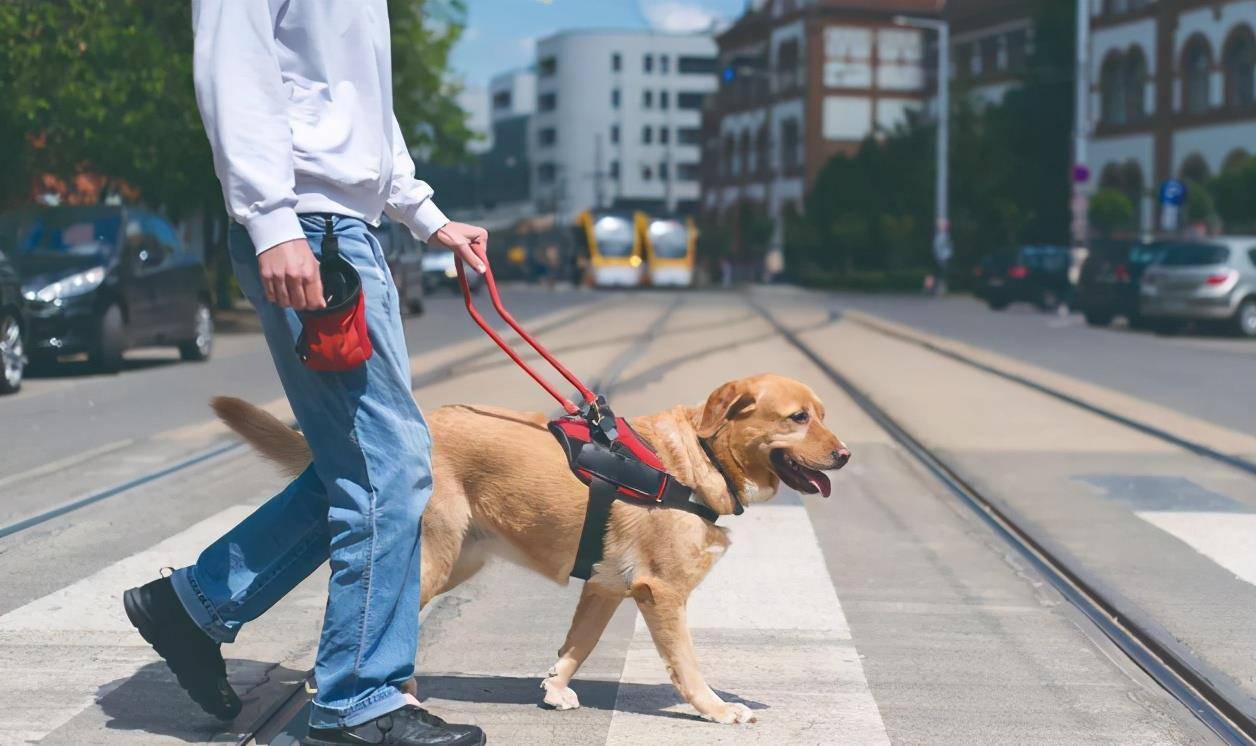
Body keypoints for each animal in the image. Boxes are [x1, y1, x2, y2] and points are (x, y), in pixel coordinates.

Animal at [213, 371, 854, 718]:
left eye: (823, 414)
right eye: (797, 418)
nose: (846, 454)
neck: (700, 459)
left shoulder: (605, 589)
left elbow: (578, 644)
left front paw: (554, 688)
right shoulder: (662, 594)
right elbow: (688, 665)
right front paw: (716, 709)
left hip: (459, 561)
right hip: (434, 562)